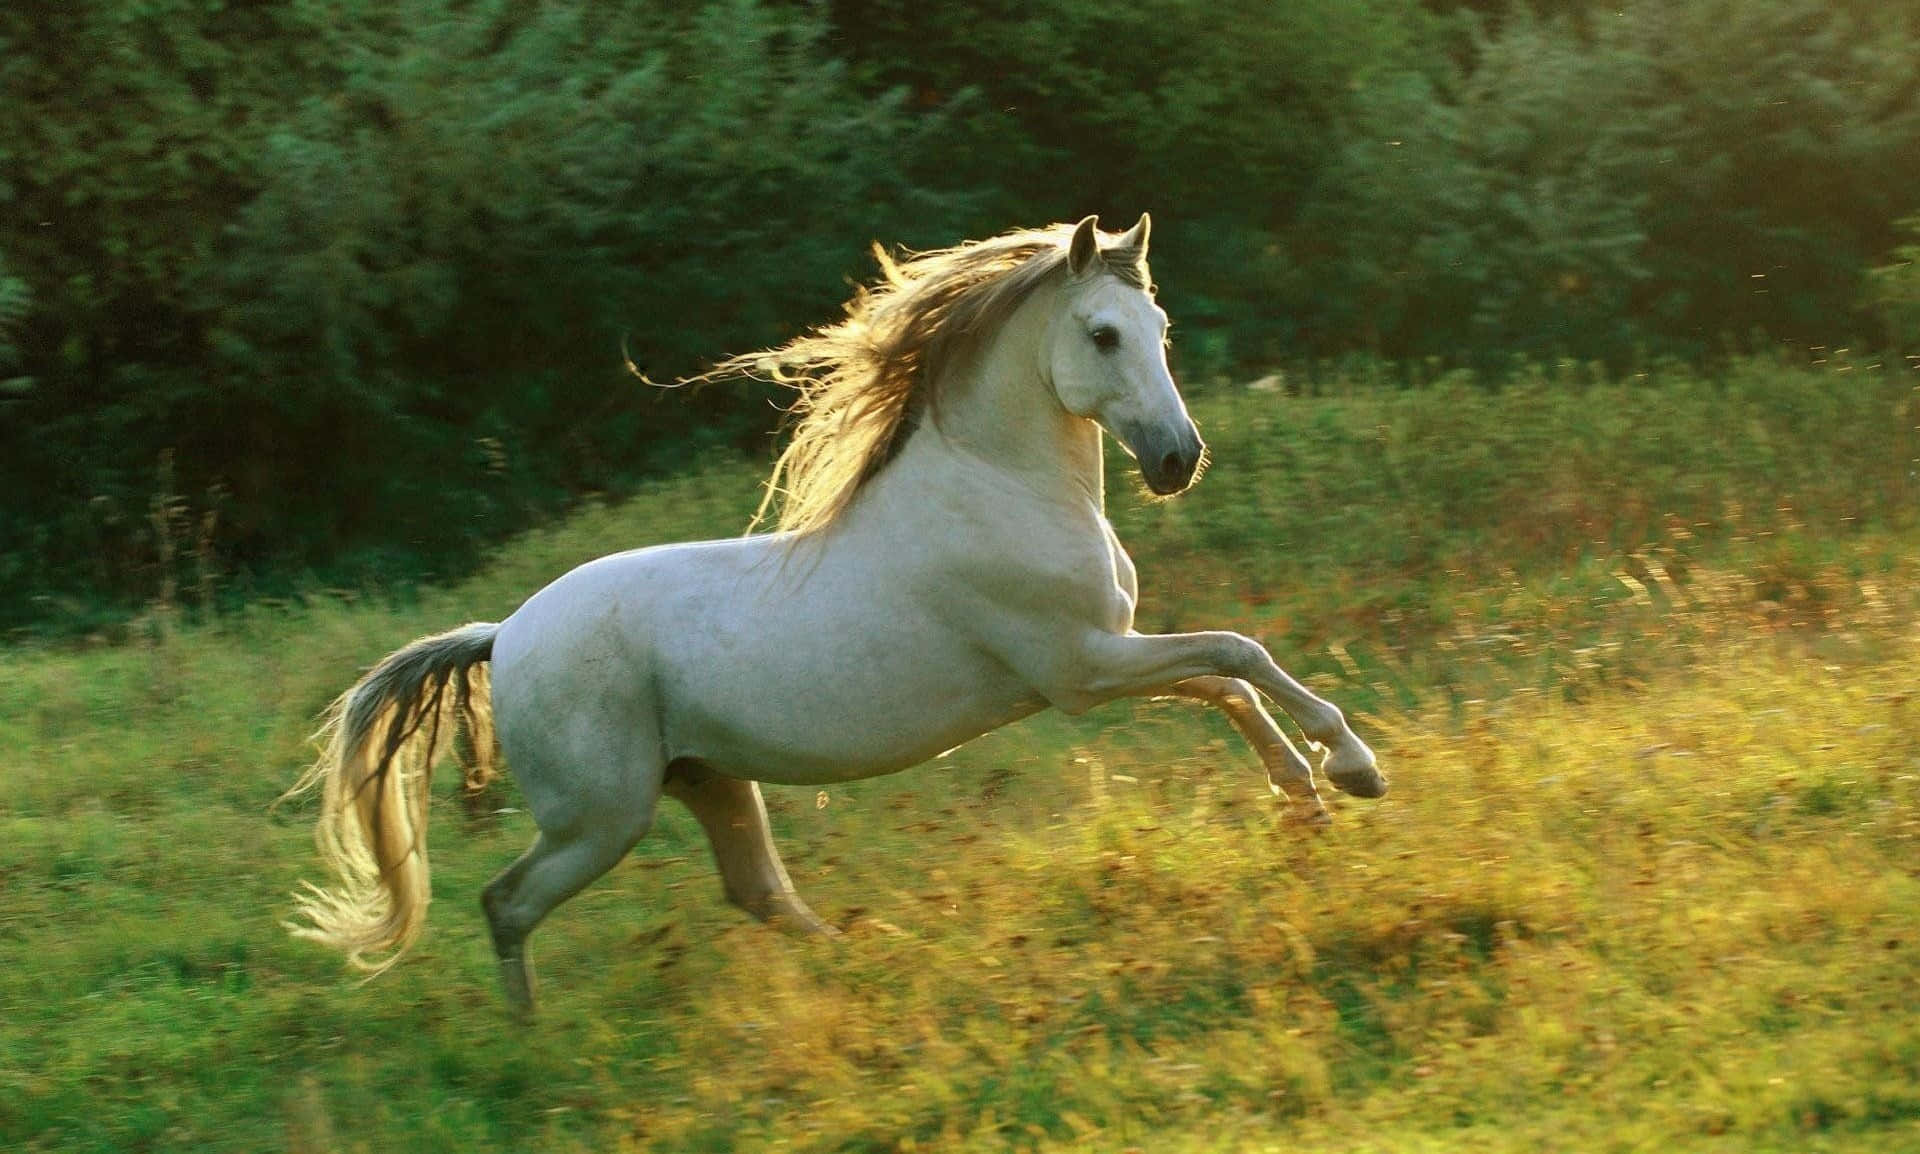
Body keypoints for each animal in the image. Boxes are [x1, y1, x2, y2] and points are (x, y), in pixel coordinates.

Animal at [283, 214, 1387, 1017]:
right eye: (1103, 334)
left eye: (1159, 332)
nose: (1176, 460)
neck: (1000, 487)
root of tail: (502, 634)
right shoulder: (1081, 668)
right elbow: (1239, 654)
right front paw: (1352, 767)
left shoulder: (1103, 657)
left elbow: (1228, 681)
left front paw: (1308, 799)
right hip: (601, 815)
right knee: (507, 901)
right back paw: (532, 1037)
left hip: (707, 780)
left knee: (756, 892)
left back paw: (870, 962)